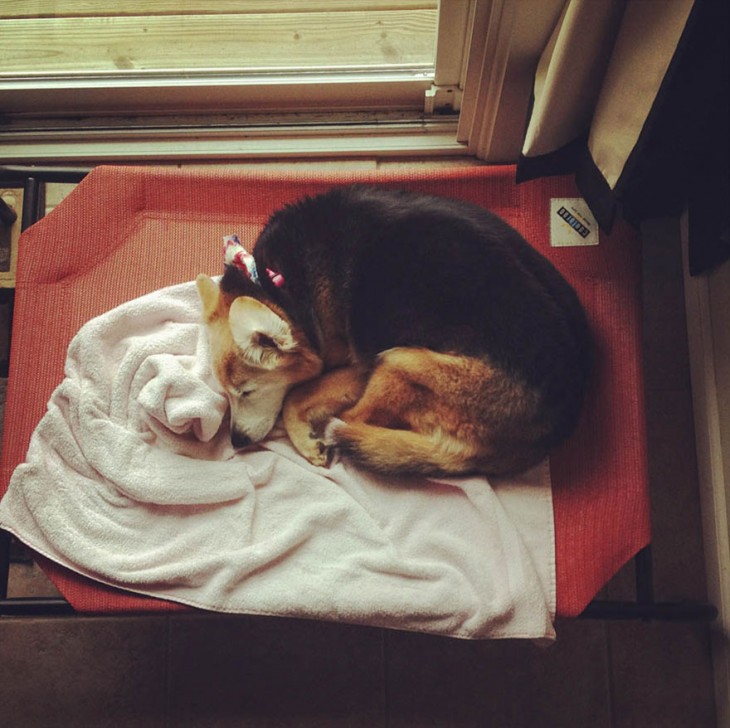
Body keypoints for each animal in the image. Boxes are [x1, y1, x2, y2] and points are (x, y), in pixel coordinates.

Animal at [195, 185, 592, 474]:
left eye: (246, 392)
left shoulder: (358, 367)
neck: (277, 284)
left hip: (399, 361)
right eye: (227, 393)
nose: (237, 442)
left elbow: (295, 397)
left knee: (351, 421)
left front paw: (306, 442)